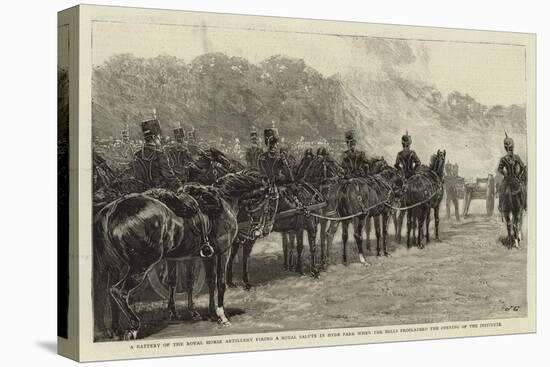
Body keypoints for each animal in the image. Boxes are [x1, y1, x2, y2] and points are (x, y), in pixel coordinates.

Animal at [94, 171, 272, 340]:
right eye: (268, 201)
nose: (260, 230)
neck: (224, 201)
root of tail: (113, 210)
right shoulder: (223, 252)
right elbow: (220, 283)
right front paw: (222, 316)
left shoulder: (207, 255)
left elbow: (210, 282)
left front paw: (211, 313)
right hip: (141, 266)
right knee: (118, 291)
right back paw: (133, 327)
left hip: (115, 267)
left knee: (109, 292)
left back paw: (116, 329)